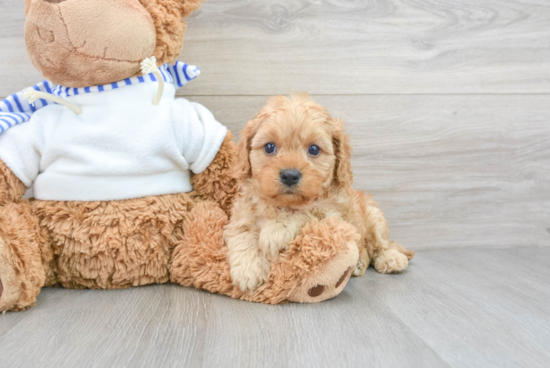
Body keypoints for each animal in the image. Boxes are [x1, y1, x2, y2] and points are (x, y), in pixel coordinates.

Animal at [224, 93, 414, 292]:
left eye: (314, 149)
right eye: (269, 147)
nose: (290, 175)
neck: (283, 204)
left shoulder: (333, 214)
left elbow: (307, 211)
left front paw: (276, 230)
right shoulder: (241, 215)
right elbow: (242, 234)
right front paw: (248, 271)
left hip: (374, 216)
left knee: (381, 244)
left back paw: (390, 258)